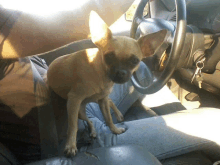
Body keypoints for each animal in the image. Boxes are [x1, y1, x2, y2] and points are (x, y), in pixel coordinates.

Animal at [46, 10, 167, 156]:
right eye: (109, 57)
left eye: (135, 61)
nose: (121, 72)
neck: (101, 74)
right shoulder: (74, 101)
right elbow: (73, 126)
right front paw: (70, 145)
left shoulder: (102, 100)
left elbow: (108, 118)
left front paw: (115, 130)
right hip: (79, 110)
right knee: (89, 120)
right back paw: (93, 131)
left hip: (91, 103)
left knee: (106, 105)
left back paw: (116, 116)